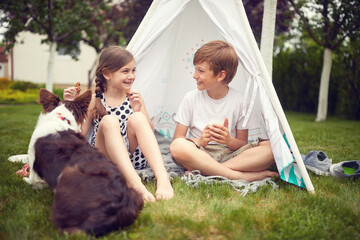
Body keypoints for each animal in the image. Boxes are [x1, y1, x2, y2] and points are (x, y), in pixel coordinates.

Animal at [9, 88, 143, 236]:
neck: (61, 118)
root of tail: (115, 209)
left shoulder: (34, 163)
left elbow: (33, 180)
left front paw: (26, 180)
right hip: (135, 195)